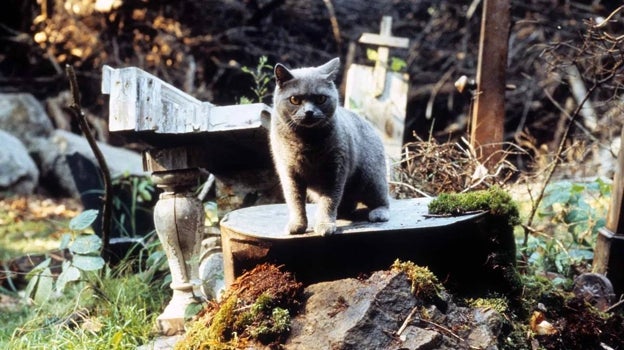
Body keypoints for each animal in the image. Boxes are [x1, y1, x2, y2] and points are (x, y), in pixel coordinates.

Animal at [270, 57, 388, 237]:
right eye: (295, 99)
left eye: (320, 98)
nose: (309, 112)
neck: (306, 141)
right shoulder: (289, 172)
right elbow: (295, 201)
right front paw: (297, 225)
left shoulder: (334, 170)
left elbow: (329, 200)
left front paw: (325, 224)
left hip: (370, 178)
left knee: (383, 199)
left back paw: (378, 213)